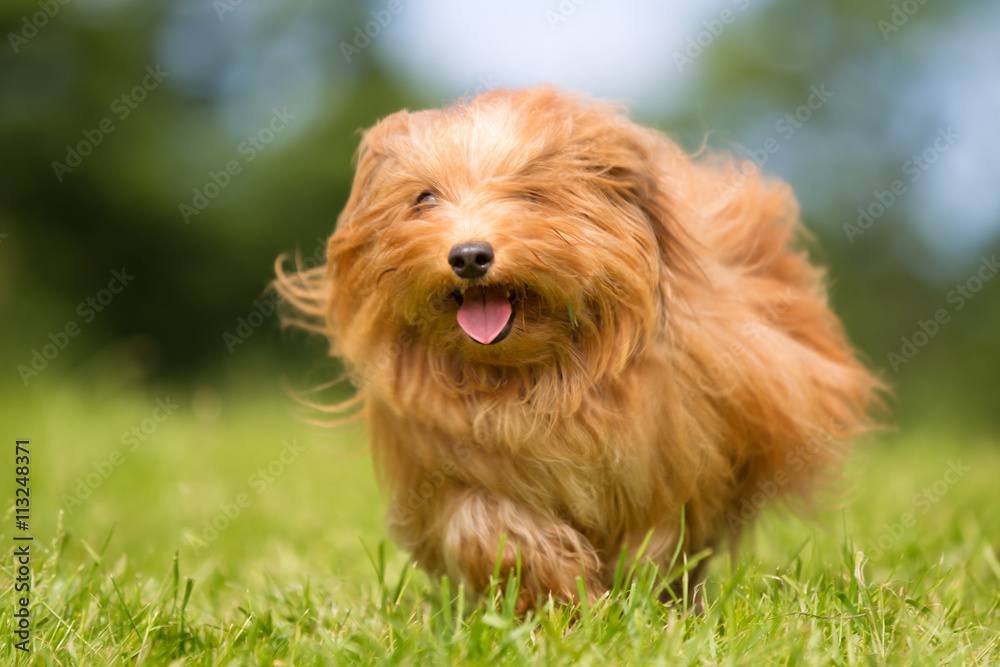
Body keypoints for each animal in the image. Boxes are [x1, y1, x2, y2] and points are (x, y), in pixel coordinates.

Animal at [272, 86, 876, 612]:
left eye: (529, 194)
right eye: (424, 198)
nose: (469, 255)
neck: (535, 374)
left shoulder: (670, 458)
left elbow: (658, 536)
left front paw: (633, 600)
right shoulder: (451, 470)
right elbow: (487, 528)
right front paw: (558, 595)